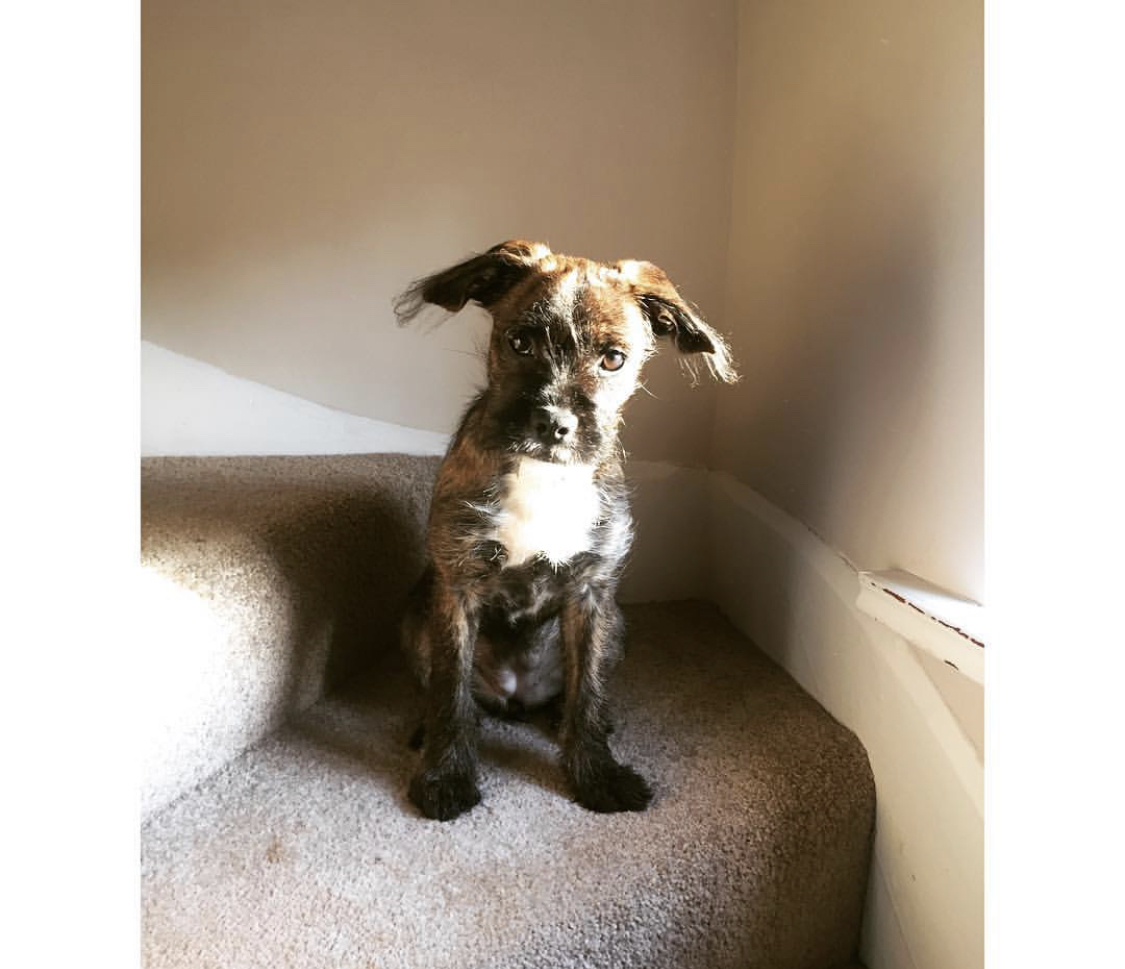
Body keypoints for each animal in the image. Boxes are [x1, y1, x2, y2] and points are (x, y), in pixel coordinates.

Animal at [391, 239, 733, 814]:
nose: (554, 424)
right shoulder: (457, 586)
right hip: (417, 620)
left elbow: (586, 693)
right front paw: (445, 774)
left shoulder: (592, 595)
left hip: (619, 627)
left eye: (613, 359)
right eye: (520, 342)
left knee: (573, 694)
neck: (546, 474)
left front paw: (596, 774)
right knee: (447, 693)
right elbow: (450, 691)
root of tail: (515, 694)